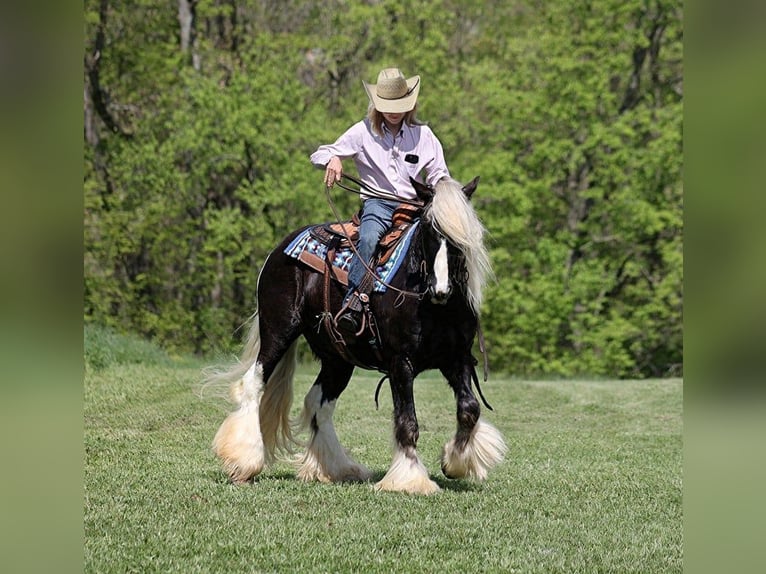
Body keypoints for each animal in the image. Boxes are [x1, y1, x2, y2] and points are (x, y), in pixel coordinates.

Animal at [207, 176, 506, 494]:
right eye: (428, 228)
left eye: (461, 237)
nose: (441, 289)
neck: (431, 305)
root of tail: (280, 249)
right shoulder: (401, 363)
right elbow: (408, 422)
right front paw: (410, 478)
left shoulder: (456, 358)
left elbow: (469, 409)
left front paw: (454, 462)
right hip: (278, 330)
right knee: (254, 383)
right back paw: (243, 462)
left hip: (338, 358)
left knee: (318, 403)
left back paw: (335, 468)